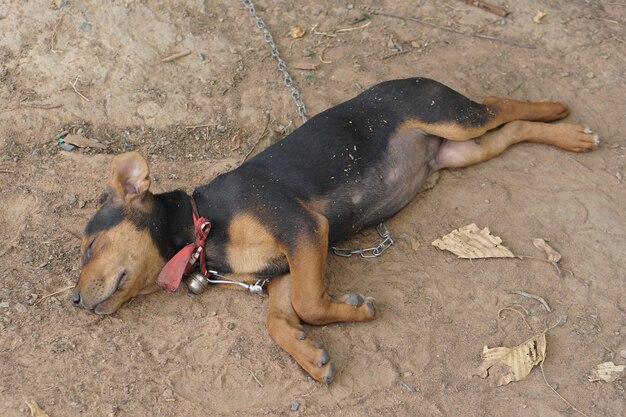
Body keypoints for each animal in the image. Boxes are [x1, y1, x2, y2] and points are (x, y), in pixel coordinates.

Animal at [70, 76, 596, 382]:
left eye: (90, 246)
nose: (73, 301)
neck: (204, 225)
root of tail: (414, 77)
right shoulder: (280, 273)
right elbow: (280, 322)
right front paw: (308, 356)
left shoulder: (304, 228)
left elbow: (311, 304)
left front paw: (356, 312)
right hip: (463, 151)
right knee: (511, 132)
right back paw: (567, 135)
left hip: (453, 117)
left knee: (498, 103)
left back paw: (559, 112)